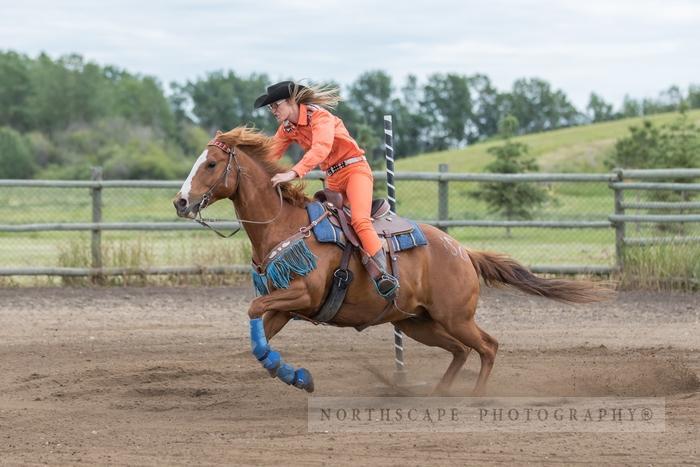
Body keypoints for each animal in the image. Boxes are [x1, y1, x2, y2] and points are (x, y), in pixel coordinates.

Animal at [172, 128, 604, 394]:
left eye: (211, 164)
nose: (180, 201)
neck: (285, 225)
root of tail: (463, 251)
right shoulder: (284, 306)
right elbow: (258, 332)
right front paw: (292, 374)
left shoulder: (302, 296)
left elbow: (253, 308)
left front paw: (293, 374)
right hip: (417, 323)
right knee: (461, 351)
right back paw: (439, 393)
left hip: (455, 317)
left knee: (488, 346)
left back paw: (476, 396)